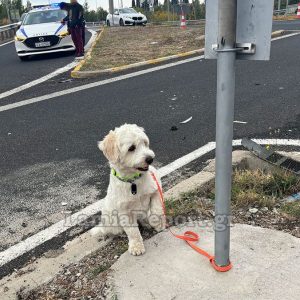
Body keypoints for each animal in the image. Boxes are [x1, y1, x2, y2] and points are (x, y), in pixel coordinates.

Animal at [91, 123, 166, 254]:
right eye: (131, 148)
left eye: (145, 143)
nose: (150, 159)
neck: (133, 181)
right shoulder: (124, 212)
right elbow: (132, 231)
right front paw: (136, 246)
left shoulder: (156, 189)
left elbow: (156, 209)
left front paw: (157, 224)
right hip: (112, 222)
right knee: (117, 230)